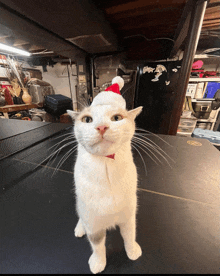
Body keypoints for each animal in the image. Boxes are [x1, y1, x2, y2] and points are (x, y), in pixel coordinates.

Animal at [67, 77, 143, 274]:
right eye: (87, 119)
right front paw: (98, 263)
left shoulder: (128, 214)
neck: (106, 165)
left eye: (116, 118)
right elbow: (97, 245)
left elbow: (129, 235)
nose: (101, 127)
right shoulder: (93, 222)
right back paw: (80, 228)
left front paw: (132, 251)